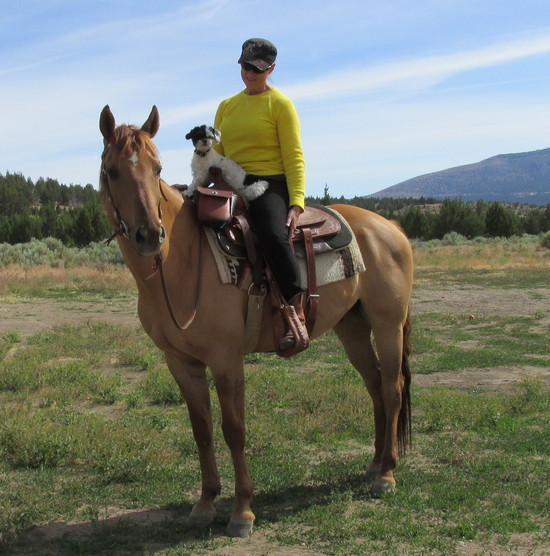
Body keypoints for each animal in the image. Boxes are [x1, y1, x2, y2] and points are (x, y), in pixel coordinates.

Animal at [99, 105, 416, 540]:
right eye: (112, 171)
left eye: (157, 168)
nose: (150, 235)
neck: (184, 260)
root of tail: (392, 227)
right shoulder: (180, 362)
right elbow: (201, 430)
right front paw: (204, 505)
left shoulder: (226, 358)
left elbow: (234, 429)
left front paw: (242, 512)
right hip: (352, 327)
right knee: (374, 386)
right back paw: (374, 464)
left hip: (387, 324)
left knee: (392, 388)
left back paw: (387, 475)